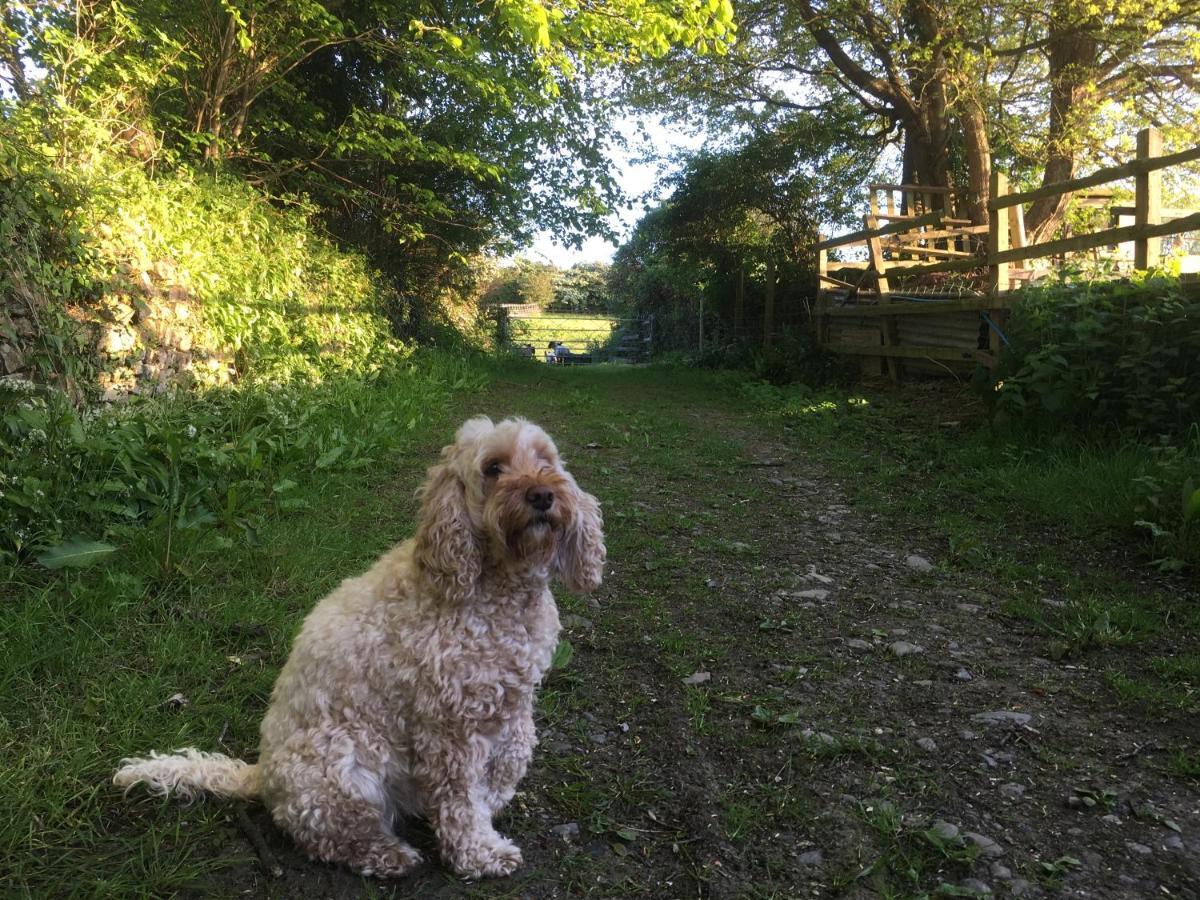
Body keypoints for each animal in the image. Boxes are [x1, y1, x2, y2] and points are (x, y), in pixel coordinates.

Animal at [112, 417, 604, 883]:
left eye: (545, 459)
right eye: (493, 468)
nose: (542, 495)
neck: (498, 589)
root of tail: (262, 772)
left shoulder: (514, 702)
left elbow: (511, 760)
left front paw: (493, 808)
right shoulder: (448, 729)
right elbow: (462, 801)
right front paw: (479, 853)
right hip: (345, 759)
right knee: (329, 834)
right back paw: (385, 855)